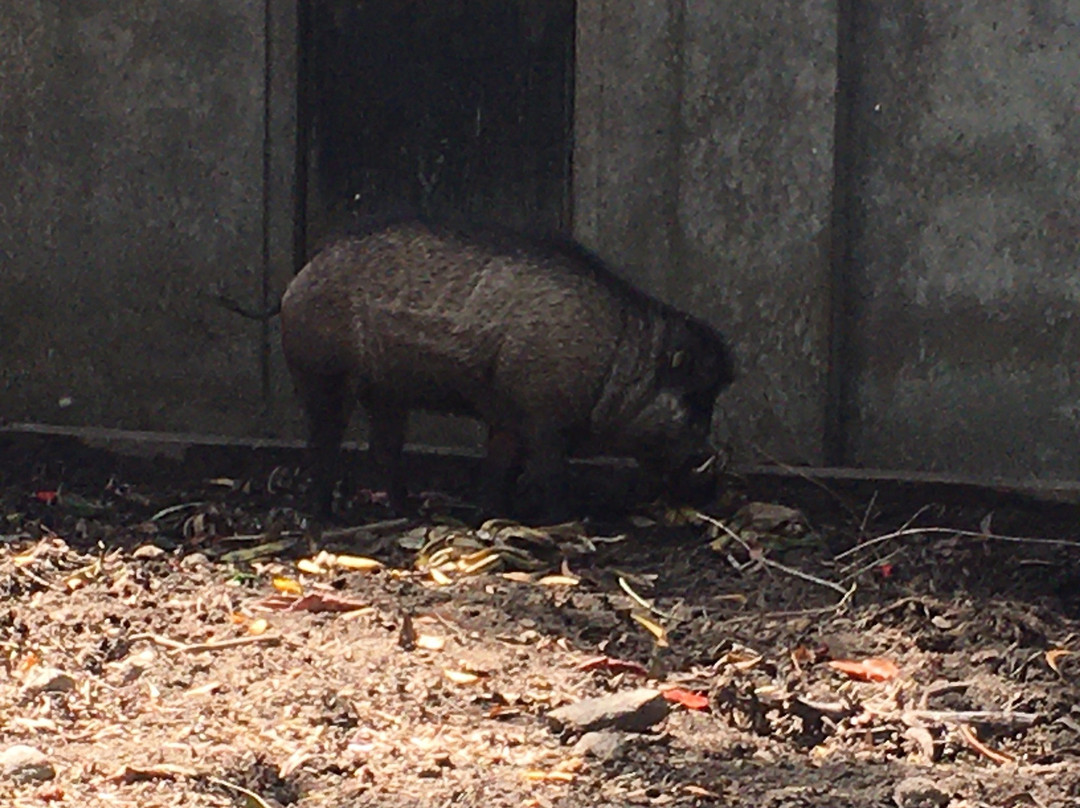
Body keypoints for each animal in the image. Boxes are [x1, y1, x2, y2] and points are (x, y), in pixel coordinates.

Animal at [278, 216, 734, 518]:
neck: (614, 363)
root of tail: (300, 276)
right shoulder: (545, 418)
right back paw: (322, 516)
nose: (713, 485)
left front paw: (490, 513)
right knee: (323, 443)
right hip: (323, 374)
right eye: (694, 401)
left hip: (387, 392)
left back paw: (409, 511)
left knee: (384, 448)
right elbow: (550, 473)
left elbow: (501, 466)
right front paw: (568, 520)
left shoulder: (508, 418)